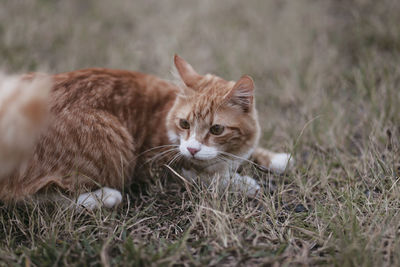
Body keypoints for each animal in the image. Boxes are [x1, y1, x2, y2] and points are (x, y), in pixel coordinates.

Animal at [0, 55, 294, 210]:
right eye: (184, 124)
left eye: (216, 129)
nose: (192, 148)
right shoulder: (158, 167)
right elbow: (206, 177)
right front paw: (240, 182)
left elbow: (252, 151)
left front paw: (276, 158)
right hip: (114, 144)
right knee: (28, 197)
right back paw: (103, 197)